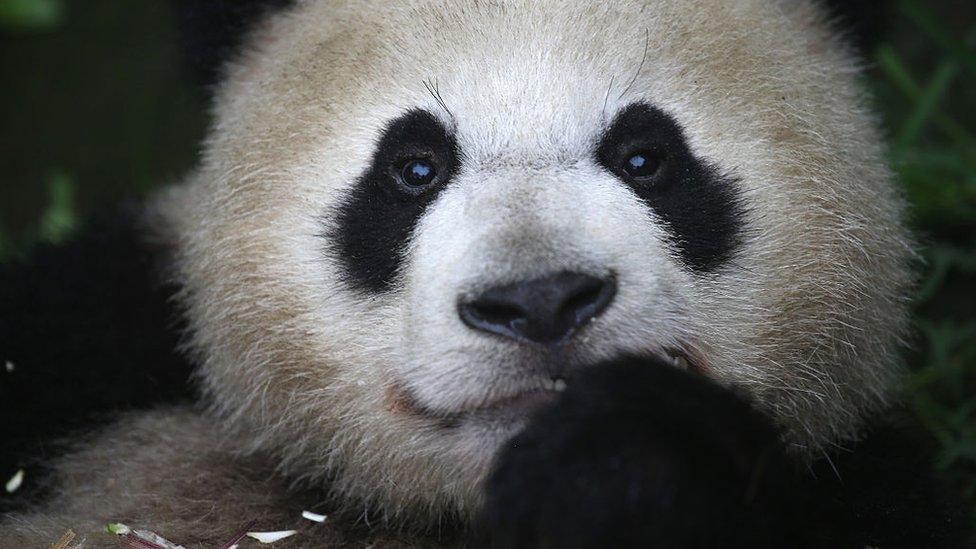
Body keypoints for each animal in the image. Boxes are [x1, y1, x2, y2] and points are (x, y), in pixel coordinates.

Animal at [0, 0, 972, 544]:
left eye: (647, 157)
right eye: (413, 167)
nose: (540, 301)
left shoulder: (866, 485)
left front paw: (619, 469)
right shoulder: (102, 323)